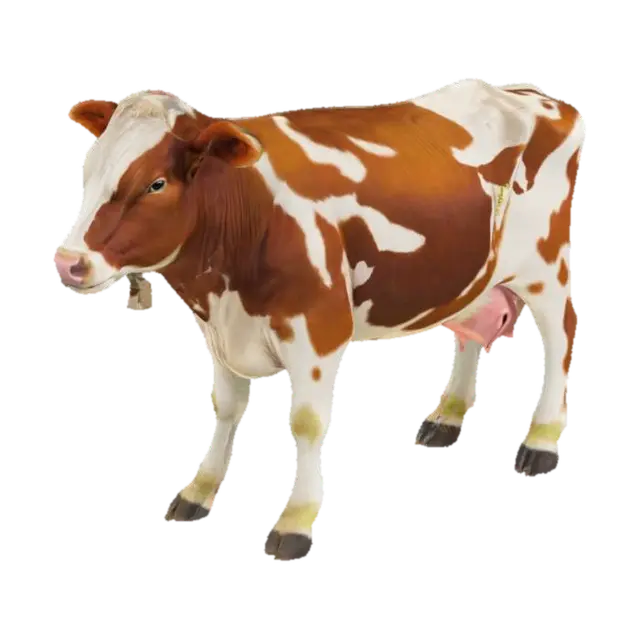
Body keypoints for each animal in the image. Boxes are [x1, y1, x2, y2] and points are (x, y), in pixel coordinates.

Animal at [56, 80, 585, 562]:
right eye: (90, 166)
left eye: (156, 183)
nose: (67, 261)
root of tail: (537, 97)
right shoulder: (220, 331)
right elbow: (224, 408)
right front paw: (197, 493)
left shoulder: (317, 332)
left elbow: (307, 424)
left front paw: (295, 522)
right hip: (470, 271)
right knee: (473, 330)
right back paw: (448, 416)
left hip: (546, 267)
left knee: (560, 338)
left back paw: (541, 441)